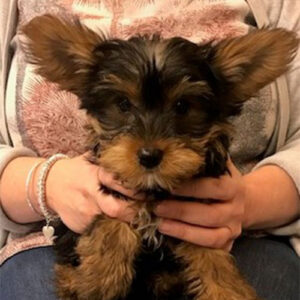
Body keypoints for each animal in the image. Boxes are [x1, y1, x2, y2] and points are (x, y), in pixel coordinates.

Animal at [22, 15, 298, 300]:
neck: (154, 189)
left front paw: (228, 290)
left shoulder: (205, 217)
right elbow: (112, 228)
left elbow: (212, 258)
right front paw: (98, 281)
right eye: (123, 104)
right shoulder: (113, 192)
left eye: (182, 106)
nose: (149, 155)